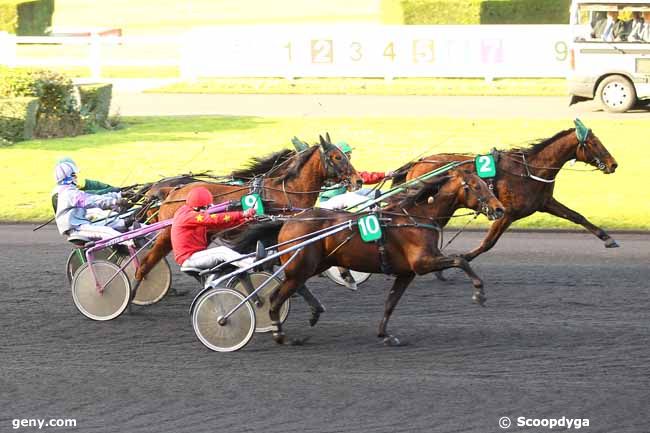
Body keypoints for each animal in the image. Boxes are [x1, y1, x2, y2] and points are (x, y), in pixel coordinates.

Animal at [235, 167, 504, 346]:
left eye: (485, 184)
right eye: (477, 186)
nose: (499, 209)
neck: (417, 217)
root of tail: (288, 221)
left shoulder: (406, 273)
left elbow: (390, 303)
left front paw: (385, 335)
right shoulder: (423, 263)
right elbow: (461, 259)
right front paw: (479, 293)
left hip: (311, 265)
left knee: (294, 288)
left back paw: (313, 312)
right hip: (301, 265)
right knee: (275, 297)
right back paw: (279, 333)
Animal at [390, 121, 616, 264]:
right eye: (594, 143)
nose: (613, 164)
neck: (529, 169)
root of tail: (417, 163)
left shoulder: (544, 202)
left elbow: (577, 216)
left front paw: (607, 238)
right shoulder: (507, 213)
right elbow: (488, 243)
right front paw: (463, 258)